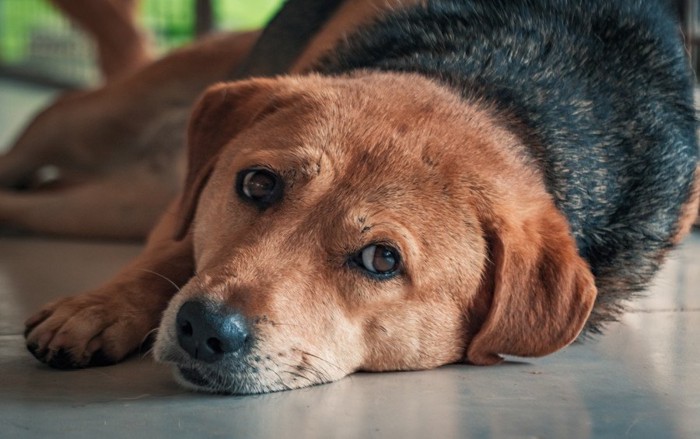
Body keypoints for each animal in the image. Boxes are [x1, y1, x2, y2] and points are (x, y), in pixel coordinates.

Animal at [15, 0, 700, 396]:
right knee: (45, 134)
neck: (499, 90)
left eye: (382, 260)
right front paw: (100, 307)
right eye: (257, 183)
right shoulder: (187, 207)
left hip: (106, 204)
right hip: (96, 125)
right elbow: (173, 254)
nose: (204, 327)